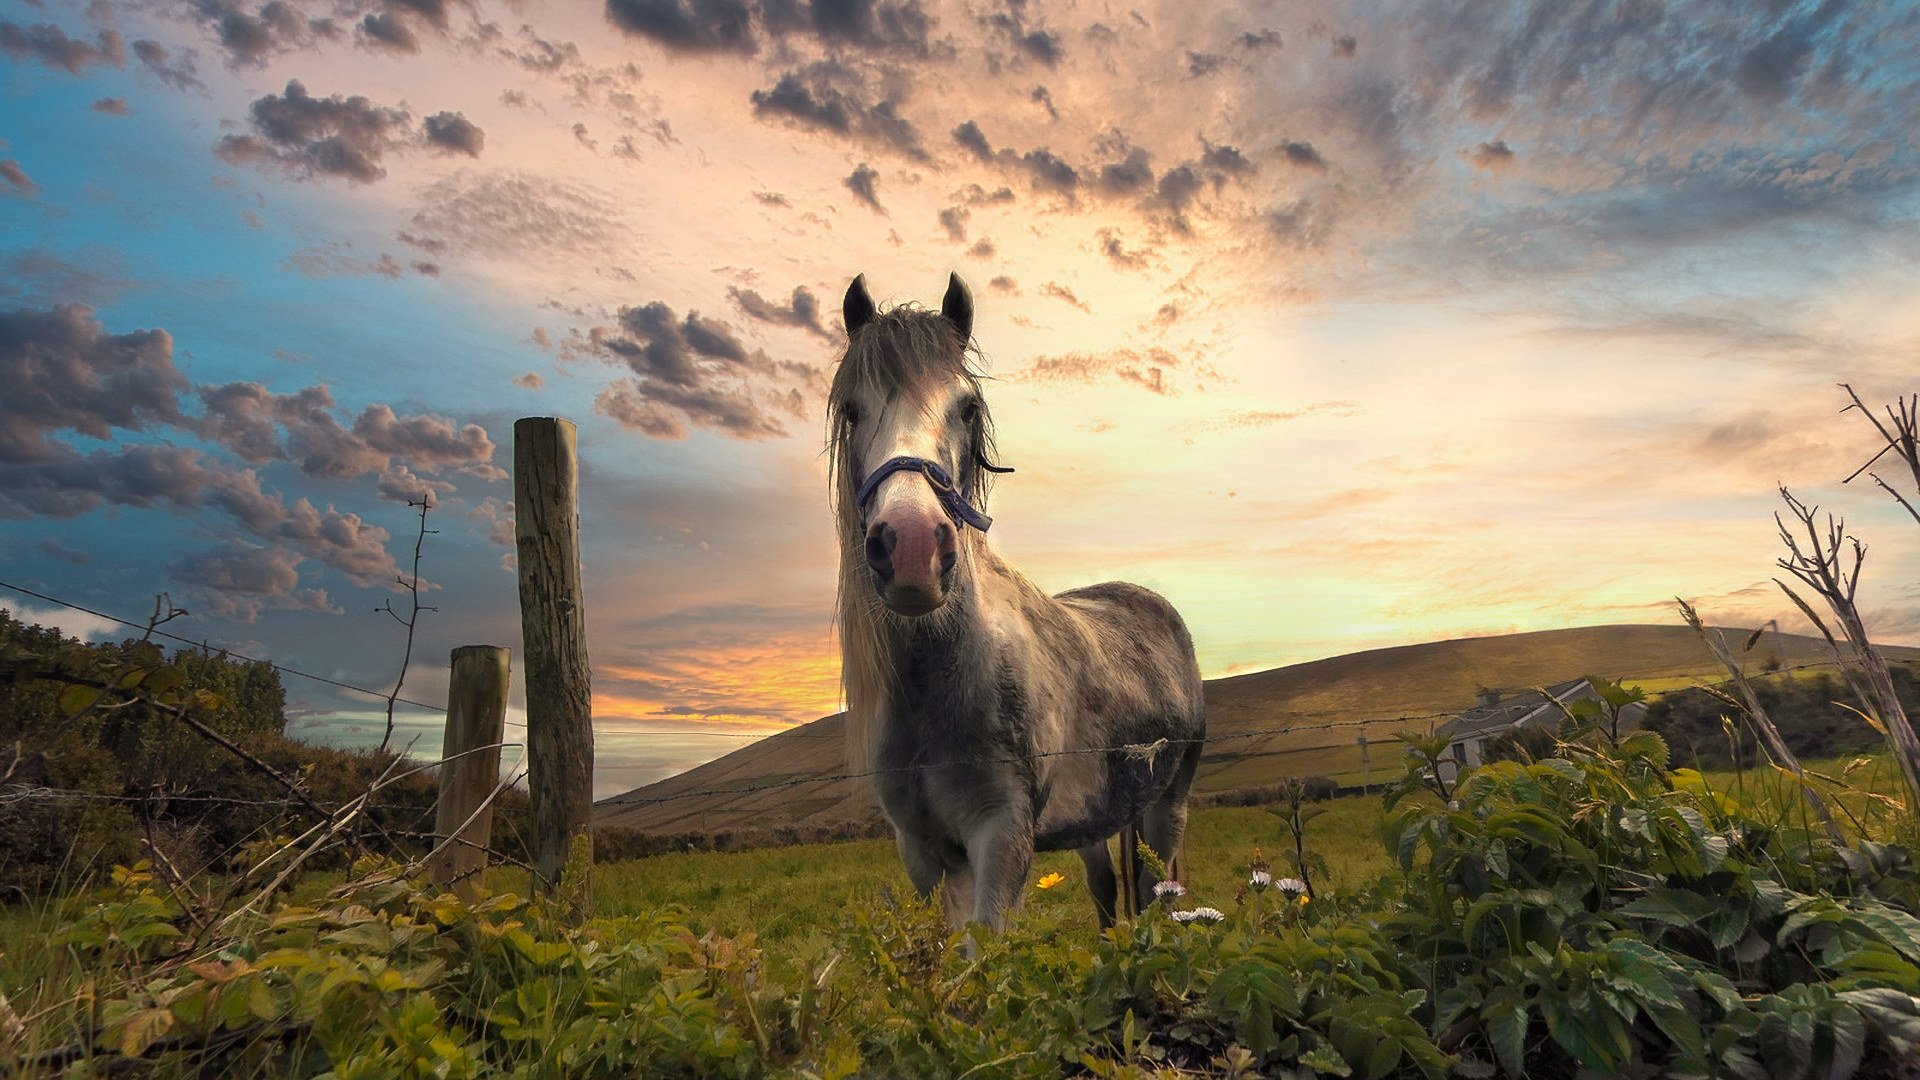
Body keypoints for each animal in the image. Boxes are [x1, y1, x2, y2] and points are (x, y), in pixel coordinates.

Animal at [829, 267, 1213, 926]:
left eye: (967, 407)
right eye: (853, 410)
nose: (911, 547)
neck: (942, 679)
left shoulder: (1001, 836)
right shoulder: (925, 856)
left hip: (1169, 807)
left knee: (1161, 890)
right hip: (1096, 821)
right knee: (1108, 894)